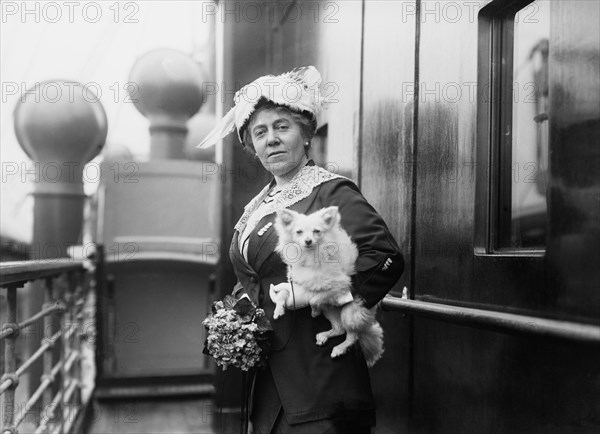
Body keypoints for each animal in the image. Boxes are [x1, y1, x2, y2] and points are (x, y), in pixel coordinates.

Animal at [268, 207, 384, 366]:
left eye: (317, 231)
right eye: (299, 232)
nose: (308, 240)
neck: (310, 257)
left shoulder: (338, 287)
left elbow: (315, 299)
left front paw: (314, 312)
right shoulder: (296, 288)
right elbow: (283, 294)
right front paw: (279, 310)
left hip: (349, 313)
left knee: (352, 336)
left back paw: (339, 348)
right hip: (330, 311)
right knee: (339, 329)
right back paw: (324, 336)